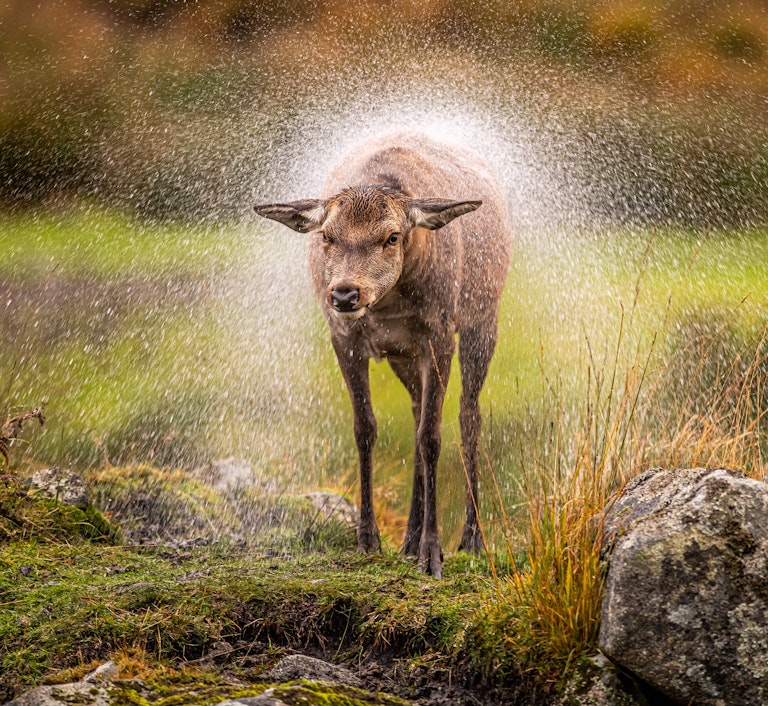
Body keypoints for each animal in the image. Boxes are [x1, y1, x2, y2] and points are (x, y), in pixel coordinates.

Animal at [255, 132, 512, 576]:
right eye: (326, 236)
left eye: (391, 236)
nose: (344, 294)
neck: (389, 306)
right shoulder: (344, 338)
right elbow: (366, 427)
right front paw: (368, 539)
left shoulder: (439, 333)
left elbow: (432, 436)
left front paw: (433, 554)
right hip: (402, 356)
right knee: (415, 411)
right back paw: (408, 538)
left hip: (482, 319)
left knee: (468, 416)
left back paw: (471, 539)